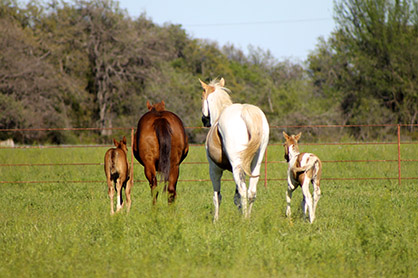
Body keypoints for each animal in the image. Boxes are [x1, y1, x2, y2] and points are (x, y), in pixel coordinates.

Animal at [200, 78, 272, 222]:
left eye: (202, 96)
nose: (204, 120)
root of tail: (244, 111)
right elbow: (236, 197)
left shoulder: (214, 169)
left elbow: (217, 197)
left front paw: (215, 220)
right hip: (255, 165)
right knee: (251, 192)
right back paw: (247, 218)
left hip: (236, 166)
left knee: (244, 191)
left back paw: (244, 220)